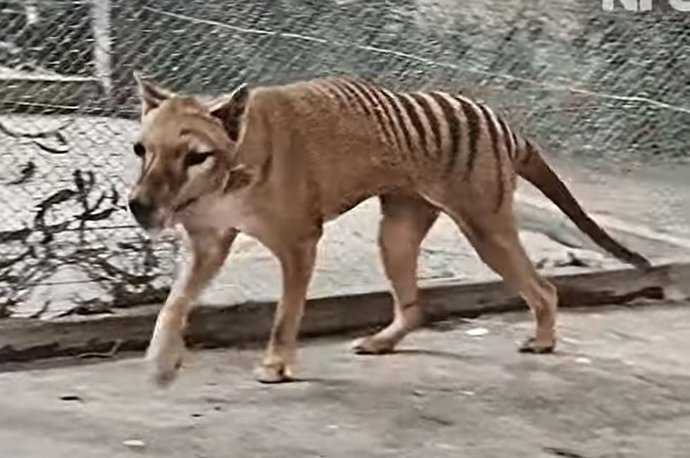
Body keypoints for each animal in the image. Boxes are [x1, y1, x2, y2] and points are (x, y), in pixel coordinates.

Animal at [127, 72, 650, 385]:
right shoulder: (209, 243)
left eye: (196, 156)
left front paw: (276, 364)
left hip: (487, 228)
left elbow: (285, 315)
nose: (138, 206)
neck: (232, 167)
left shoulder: (299, 243)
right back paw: (383, 341)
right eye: (141, 149)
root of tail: (502, 123)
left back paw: (542, 340)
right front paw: (161, 361)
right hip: (397, 232)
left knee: (544, 289)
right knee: (415, 305)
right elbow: (173, 306)